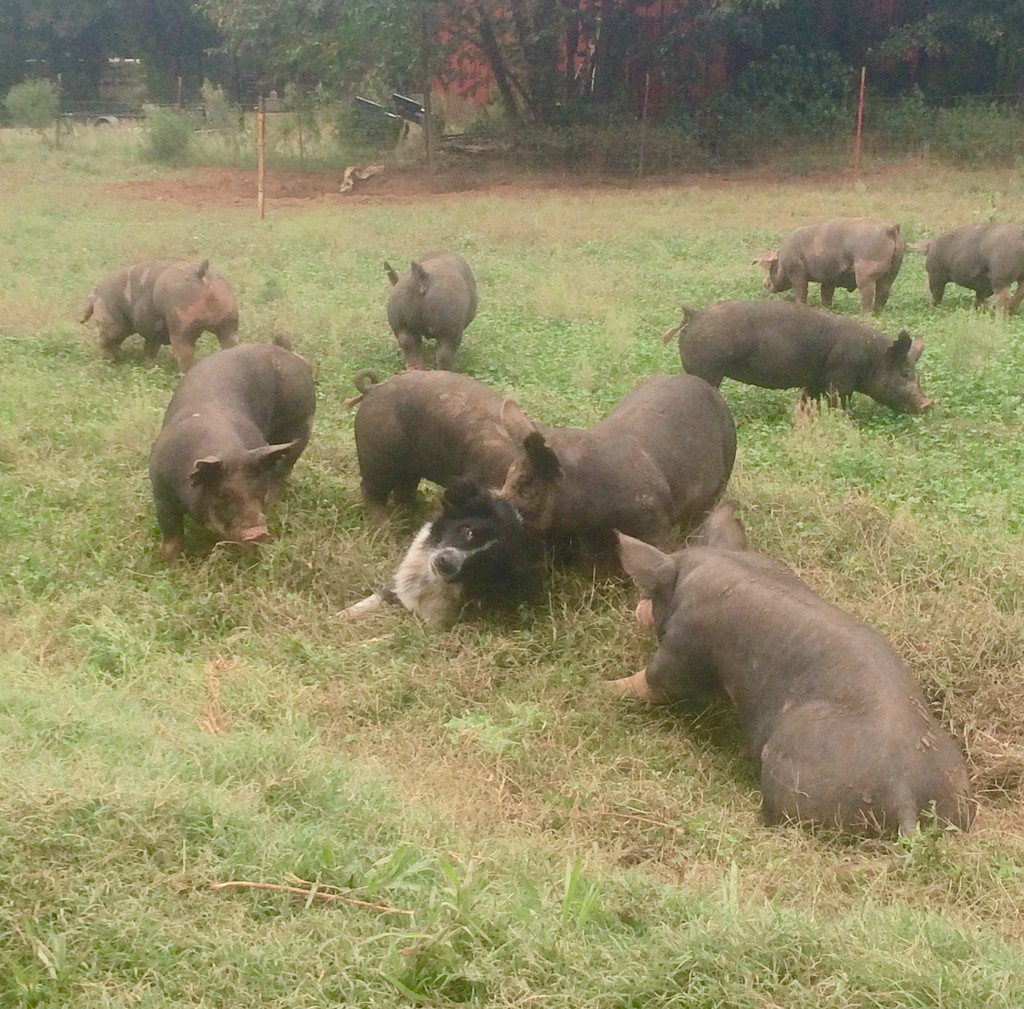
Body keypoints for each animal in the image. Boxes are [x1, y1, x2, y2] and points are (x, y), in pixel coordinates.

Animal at [149, 336, 315, 561]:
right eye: (222, 494)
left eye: (257, 488)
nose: (258, 533)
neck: (228, 451)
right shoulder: (160, 489)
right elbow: (171, 533)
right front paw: (169, 562)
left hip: (301, 422)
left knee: (283, 469)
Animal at [499, 374, 736, 561]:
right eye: (507, 475)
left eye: (525, 482)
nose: (498, 500)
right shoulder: (589, 535)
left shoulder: (655, 518)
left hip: (726, 466)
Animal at [609, 504, 975, 836]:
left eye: (654, 593)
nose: (638, 610)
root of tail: (904, 792)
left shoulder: (686, 644)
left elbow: (657, 682)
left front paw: (604, 688)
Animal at [662, 300, 932, 414]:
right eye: (905, 374)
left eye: (917, 374)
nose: (928, 404)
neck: (870, 358)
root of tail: (694, 314)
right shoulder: (840, 378)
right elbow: (839, 404)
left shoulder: (814, 380)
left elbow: (806, 399)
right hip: (708, 368)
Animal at [755, 217, 905, 313]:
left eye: (770, 267)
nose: (764, 282)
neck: (782, 260)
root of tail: (890, 229)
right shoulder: (829, 278)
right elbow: (826, 292)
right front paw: (826, 309)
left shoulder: (797, 272)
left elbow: (800, 290)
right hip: (894, 270)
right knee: (884, 291)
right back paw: (876, 313)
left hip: (866, 271)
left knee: (867, 292)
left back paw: (864, 314)